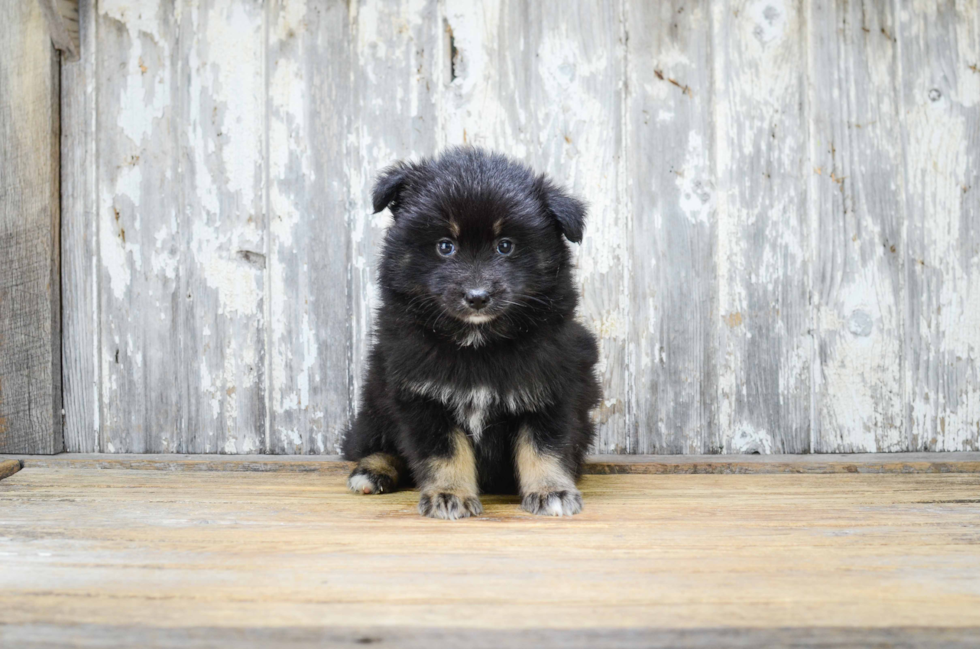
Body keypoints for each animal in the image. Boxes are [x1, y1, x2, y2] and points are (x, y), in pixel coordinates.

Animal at [340, 144, 600, 520]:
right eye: (445, 246)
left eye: (505, 246)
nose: (477, 297)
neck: (478, 343)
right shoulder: (421, 397)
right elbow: (443, 452)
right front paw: (449, 494)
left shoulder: (554, 389)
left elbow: (544, 446)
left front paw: (551, 490)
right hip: (374, 400)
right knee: (374, 443)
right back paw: (373, 470)